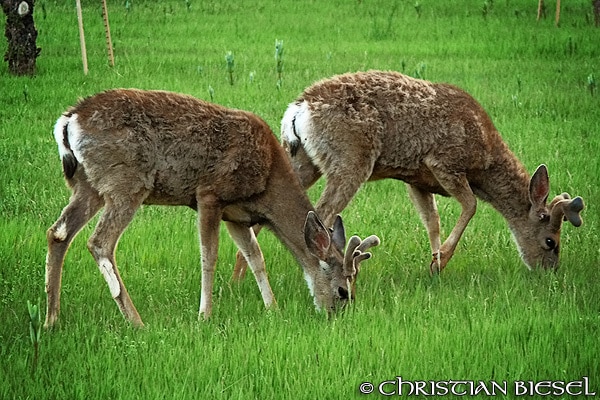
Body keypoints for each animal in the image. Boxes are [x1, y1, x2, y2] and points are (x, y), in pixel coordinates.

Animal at [44, 88, 380, 328]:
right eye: (343, 292)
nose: (335, 317)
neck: (268, 181)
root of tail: (69, 121)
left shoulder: (238, 215)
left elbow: (256, 257)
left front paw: (272, 308)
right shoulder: (209, 195)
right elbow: (209, 257)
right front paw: (204, 314)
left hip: (87, 185)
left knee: (58, 233)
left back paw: (51, 319)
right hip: (124, 182)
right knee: (99, 242)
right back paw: (136, 321)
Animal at [231, 70, 580, 280]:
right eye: (551, 242)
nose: (550, 272)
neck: (486, 161)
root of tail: (298, 109)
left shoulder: (416, 181)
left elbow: (432, 221)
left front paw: (434, 265)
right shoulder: (444, 162)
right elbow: (470, 206)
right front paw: (442, 259)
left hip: (305, 161)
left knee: (265, 216)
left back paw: (238, 277)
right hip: (350, 161)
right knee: (322, 214)